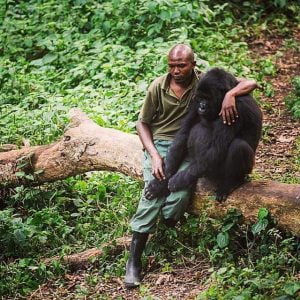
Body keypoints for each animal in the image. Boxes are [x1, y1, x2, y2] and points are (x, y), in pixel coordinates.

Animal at [144, 67, 262, 202]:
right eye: (200, 98)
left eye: (207, 98)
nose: (201, 107)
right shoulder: (195, 100)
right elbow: (184, 133)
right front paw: (160, 183)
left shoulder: (234, 106)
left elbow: (216, 148)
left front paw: (179, 180)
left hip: (245, 170)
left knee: (238, 146)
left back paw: (231, 183)